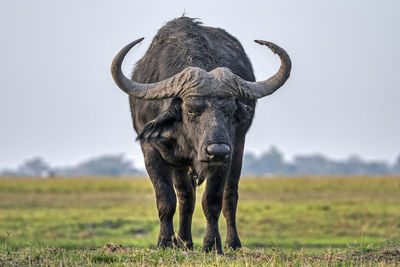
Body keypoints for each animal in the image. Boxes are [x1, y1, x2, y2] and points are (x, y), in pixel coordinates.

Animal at [110, 16, 290, 253]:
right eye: (191, 109)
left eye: (230, 110)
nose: (217, 150)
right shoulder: (151, 150)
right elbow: (166, 199)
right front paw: (165, 242)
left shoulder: (226, 155)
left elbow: (212, 200)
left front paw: (212, 244)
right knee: (185, 197)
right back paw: (184, 241)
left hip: (236, 151)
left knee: (229, 196)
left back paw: (232, 243)